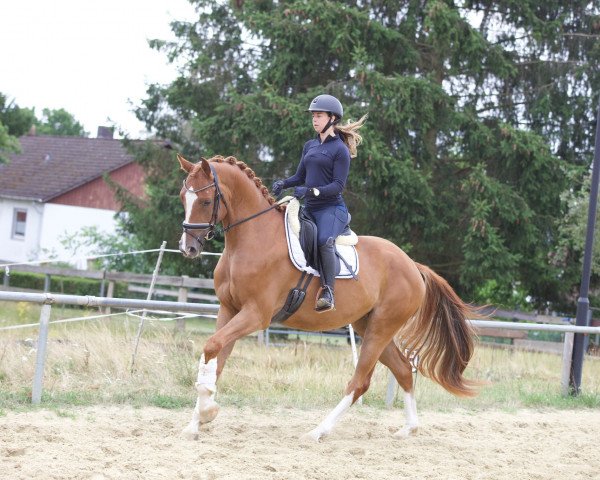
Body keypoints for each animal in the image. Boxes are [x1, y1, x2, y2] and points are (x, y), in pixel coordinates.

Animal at [175, 155, 478, 442]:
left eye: (205, 200)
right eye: (182, 197)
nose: (188, 248)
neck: (251, 239)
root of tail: (413, 265)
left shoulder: (255, 315)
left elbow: (212, 347)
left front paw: (207, 412)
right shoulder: (228, 310)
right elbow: (214, 357)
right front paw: (195, 424)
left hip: (381, 328)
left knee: (360, 382)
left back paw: (317, 432)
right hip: (369, 326)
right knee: (403, 370)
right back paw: (408, 429)